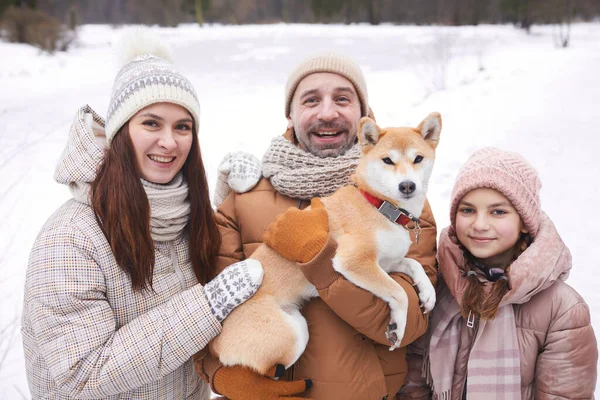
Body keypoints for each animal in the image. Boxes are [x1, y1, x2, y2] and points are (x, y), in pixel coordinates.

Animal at [210, 111, 440, 376]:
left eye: (418, 158)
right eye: (387, 160)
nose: (407, 185)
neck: (380, 206)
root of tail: (216, 344)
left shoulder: (387, 263)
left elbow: (414, 264)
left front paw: (428, 293)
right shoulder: (354, 262)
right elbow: (399, 292)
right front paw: (397, 326)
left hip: (298, 326)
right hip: (293, 336)